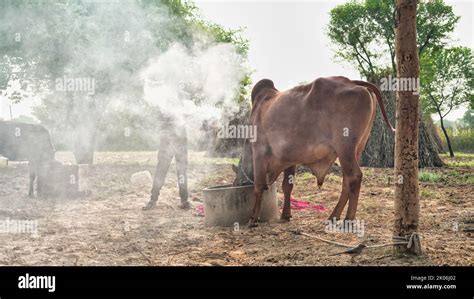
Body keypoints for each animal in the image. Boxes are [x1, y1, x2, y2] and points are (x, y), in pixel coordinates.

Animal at [232, 77, 392, 227]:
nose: (235, 185)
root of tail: (352, 82)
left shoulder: (259, 152)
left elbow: (258, 186)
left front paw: (253, 219)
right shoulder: (289, 159)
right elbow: (287, 186)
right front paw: (286, 214)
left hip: (345, 148)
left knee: (354, 177)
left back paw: (348, 219)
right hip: (356, 150)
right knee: (346, 181)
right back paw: (333, 216)